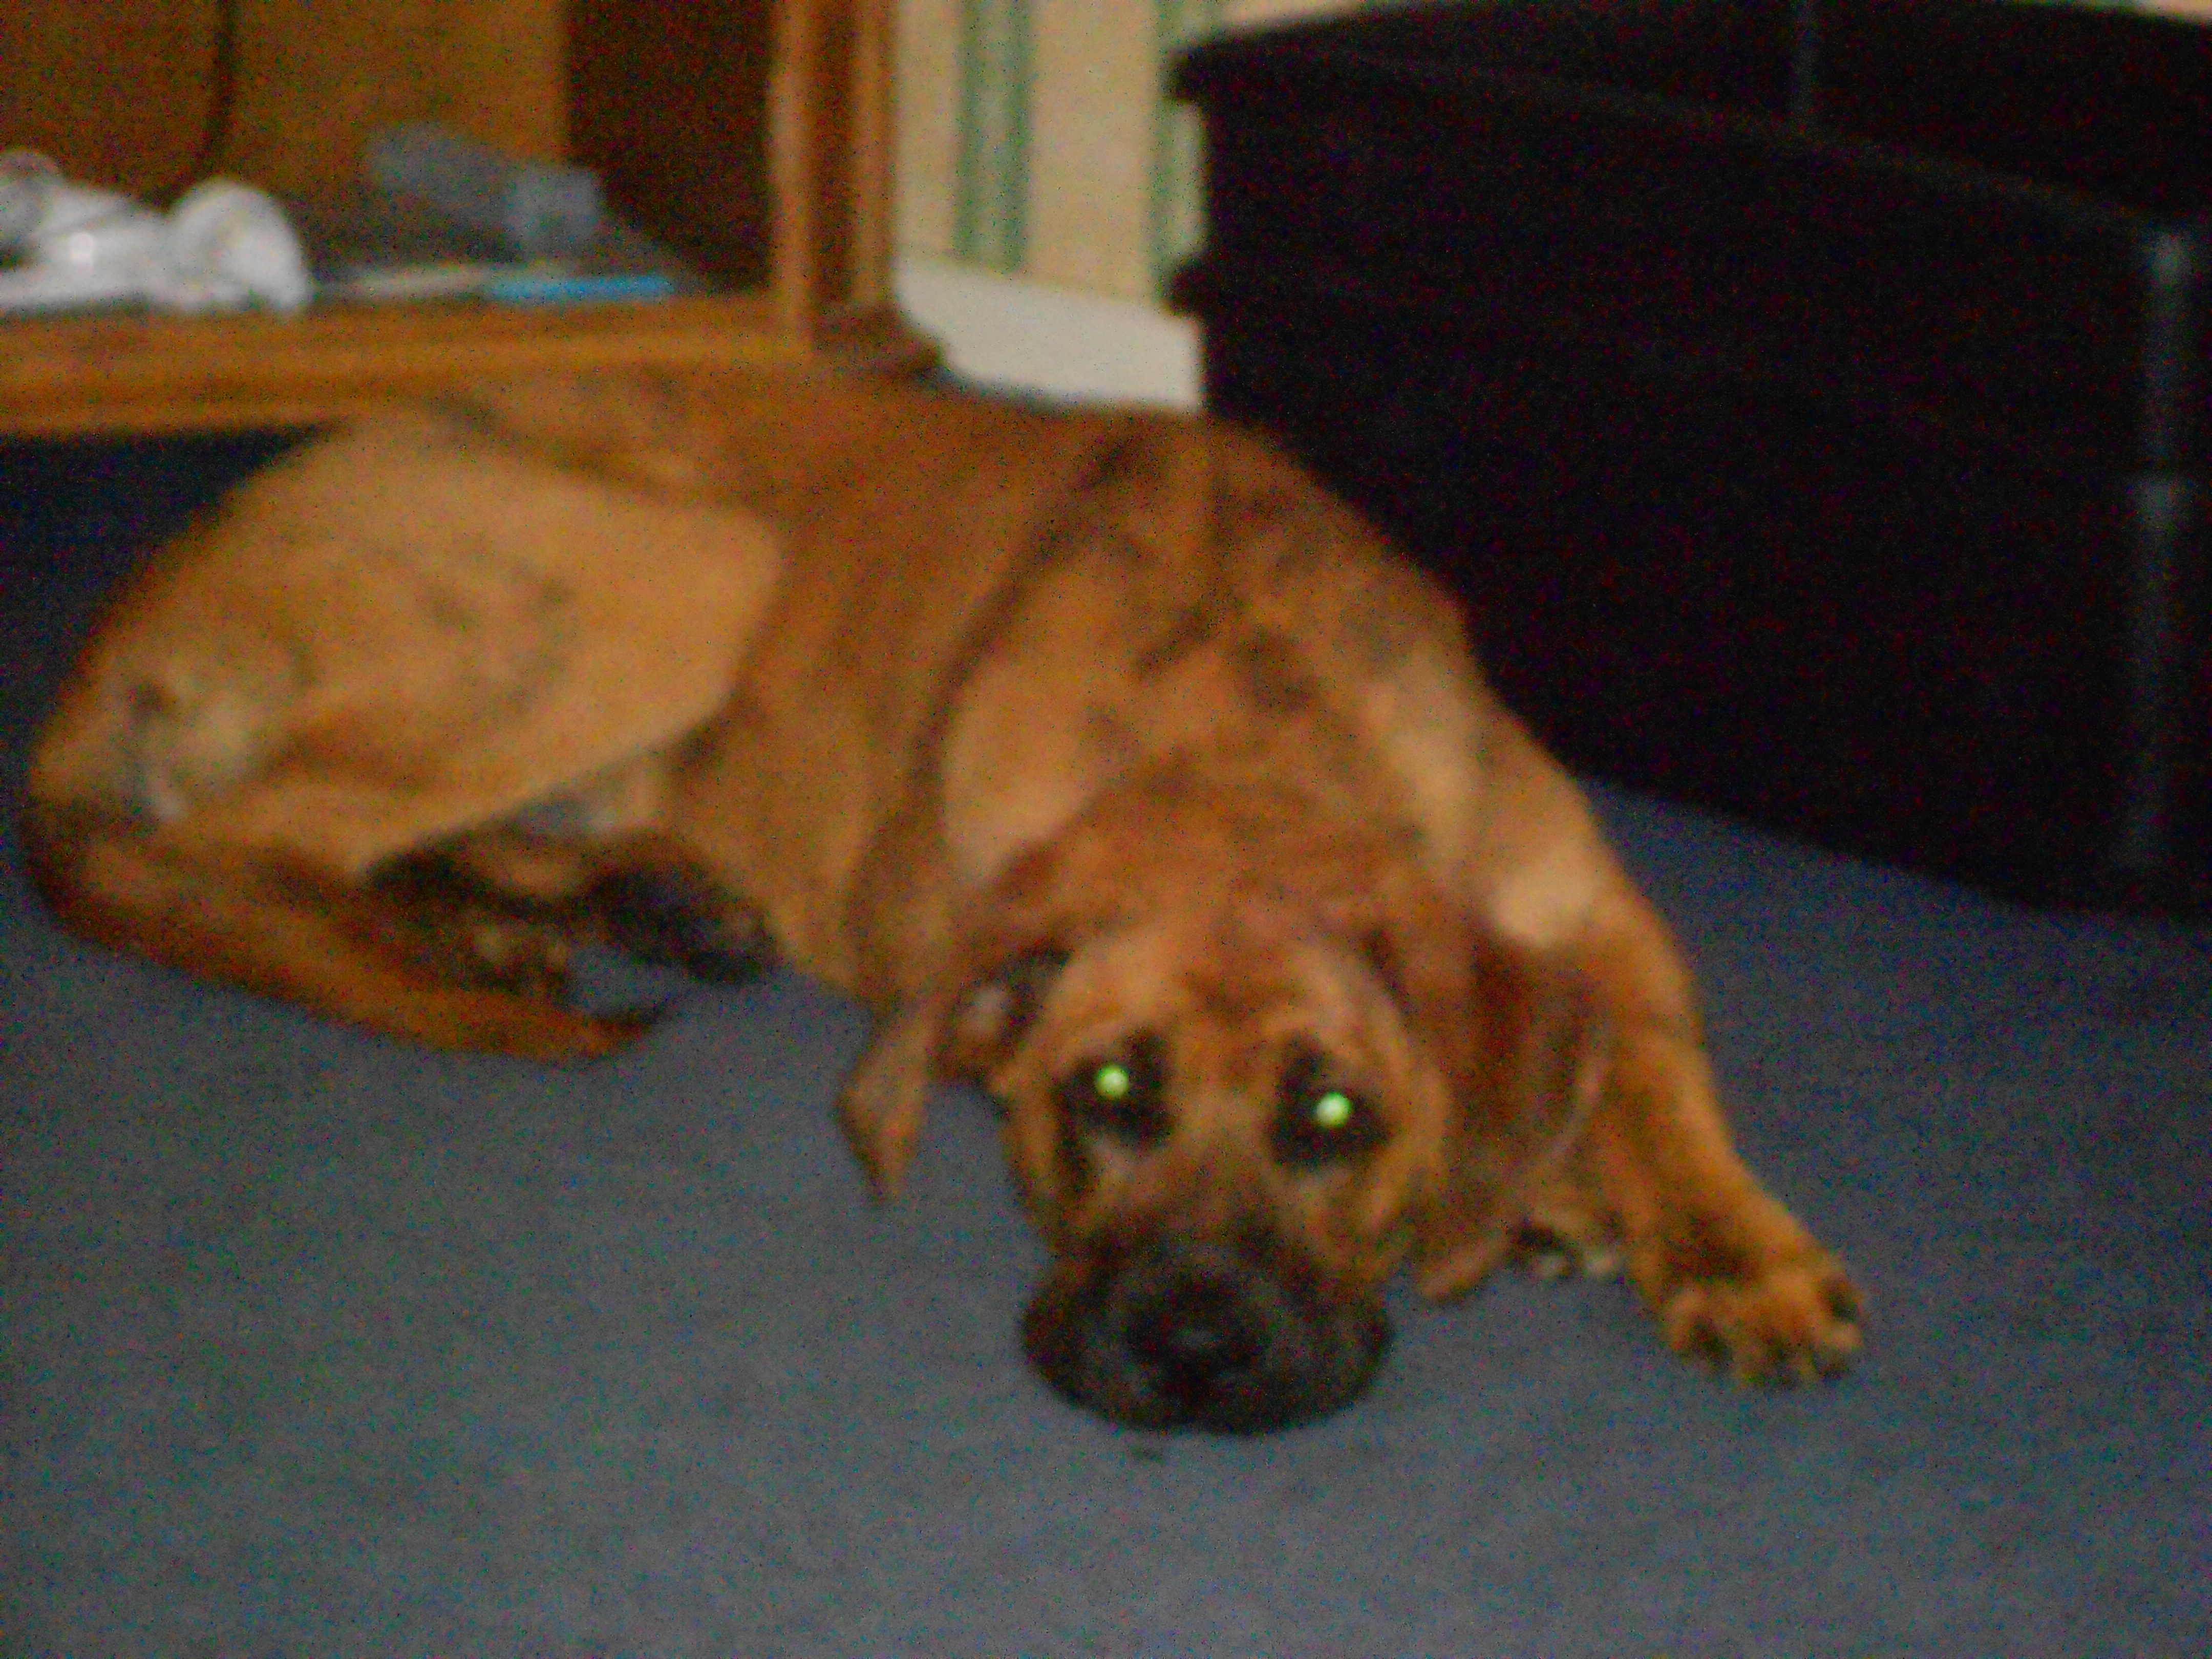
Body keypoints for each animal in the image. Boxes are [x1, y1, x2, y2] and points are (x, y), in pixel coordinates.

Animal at [24, 369, 1860, 1432]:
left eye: (1333, 1115)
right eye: (1099, 1096)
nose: (1191, 1356)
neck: (1247, 734)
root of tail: (127, 612)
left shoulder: (1598, 920)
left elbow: (1649, 1079)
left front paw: (1720, 1245)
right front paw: (1572, 1204)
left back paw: (601, 906)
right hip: (678, 567)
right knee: (252, 851)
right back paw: (483, 943)